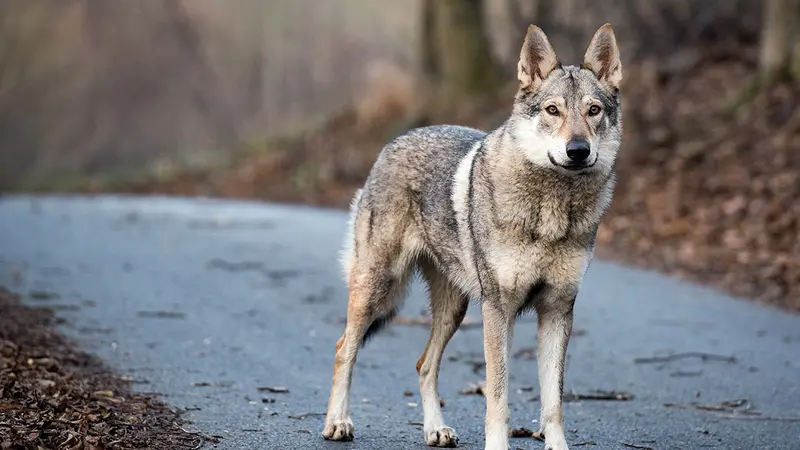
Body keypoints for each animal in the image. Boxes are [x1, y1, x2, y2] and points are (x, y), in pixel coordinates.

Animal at [321, 23, 623, 450]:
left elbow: (553, 402)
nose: (578, 150)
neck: (552, 209)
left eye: (593, 111)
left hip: (454, 309)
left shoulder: (557, 310)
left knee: (424, 364)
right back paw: (337, 423)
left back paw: (435, 429)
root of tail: (395, 141)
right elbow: (498, 395)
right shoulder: (498, 310)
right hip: (378, 288)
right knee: (343, 349)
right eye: (553, 111)